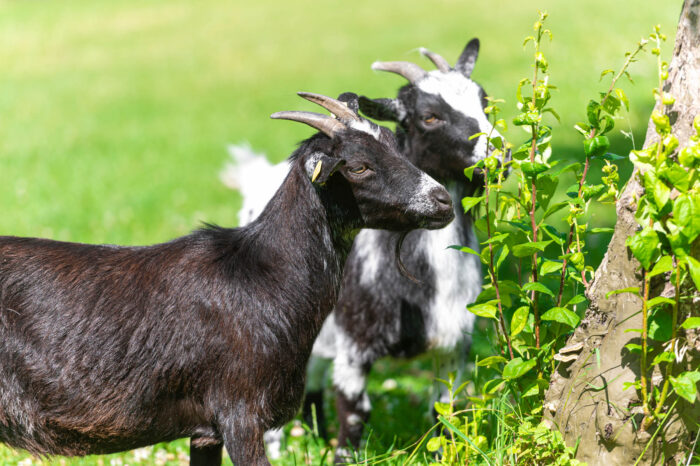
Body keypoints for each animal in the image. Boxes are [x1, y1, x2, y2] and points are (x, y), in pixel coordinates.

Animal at [0, 93, 452, 464]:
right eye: (358, 166)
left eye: (394, 144)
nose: (443, 200)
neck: (264, 274)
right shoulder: (240, 413)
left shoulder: (206, 431)